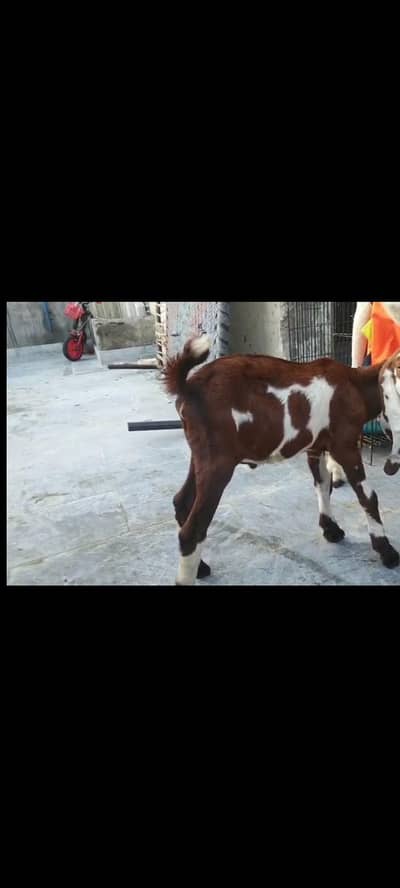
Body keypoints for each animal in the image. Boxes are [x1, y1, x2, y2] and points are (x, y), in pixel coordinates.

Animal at [164, 336, 400, 585]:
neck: (355, 384)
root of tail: (188, 387)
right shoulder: (344, 445)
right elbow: (368, 497)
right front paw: (387, 552)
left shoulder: (316, 446)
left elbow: (323, 485)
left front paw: (331, 529)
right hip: (218, 462)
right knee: (194, 529)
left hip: (201, 455)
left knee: (182, 501)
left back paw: (201, 567)